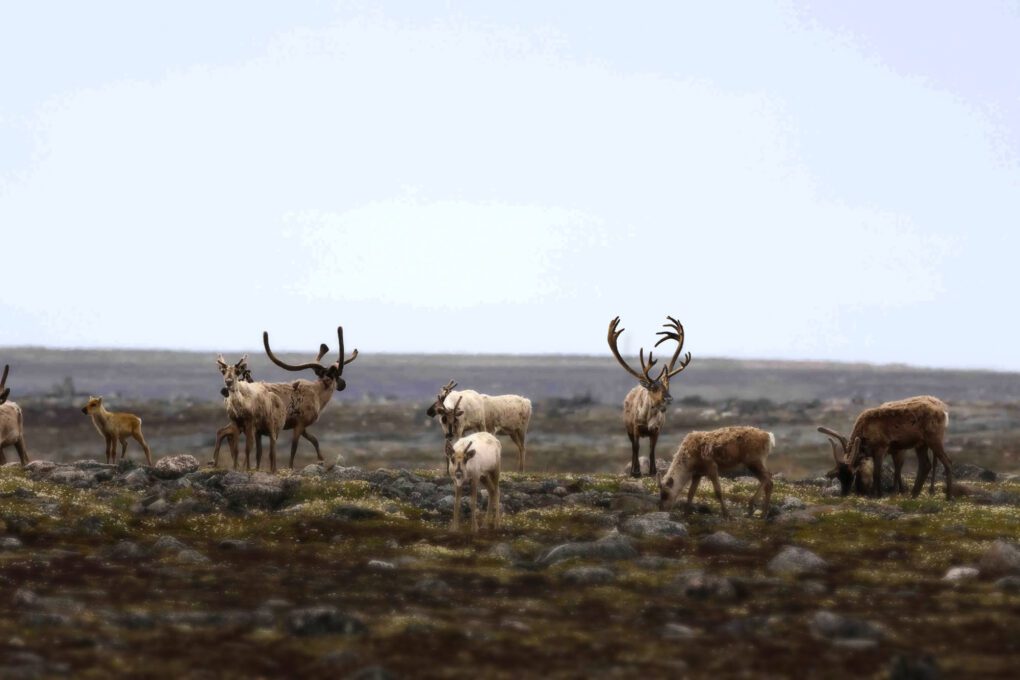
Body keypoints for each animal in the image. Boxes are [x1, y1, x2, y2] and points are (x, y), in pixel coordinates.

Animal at [262, 326, 358, 469]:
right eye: (336, 375)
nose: (343, 384)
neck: (317, 394)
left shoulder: (302, 426)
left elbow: (314, 440)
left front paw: (321, 460)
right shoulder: (300, 423)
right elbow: (294, 449)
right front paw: (290, 467)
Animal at [607, 315, 692, 477]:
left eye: (667, 386)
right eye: (653, 387)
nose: (669, 398)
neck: (648, 417)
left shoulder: (656, 430)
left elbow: (652, 450)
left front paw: (653, 471)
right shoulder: (635, 428)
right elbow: (636, 448)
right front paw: (636, 471)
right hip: (628, 428)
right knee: (633, 448)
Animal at [818, 395, 952, 499]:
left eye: (852, 474)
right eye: (839, 476)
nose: (844, 493)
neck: (864, 431)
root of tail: (944, 412)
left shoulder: (882, 448)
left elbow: (877, 472)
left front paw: (876, 494)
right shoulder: (886, 451)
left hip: (934, 439)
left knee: (947, 462)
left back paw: (948, 496)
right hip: (921, 443)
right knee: (925, 465)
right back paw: (914, 494)